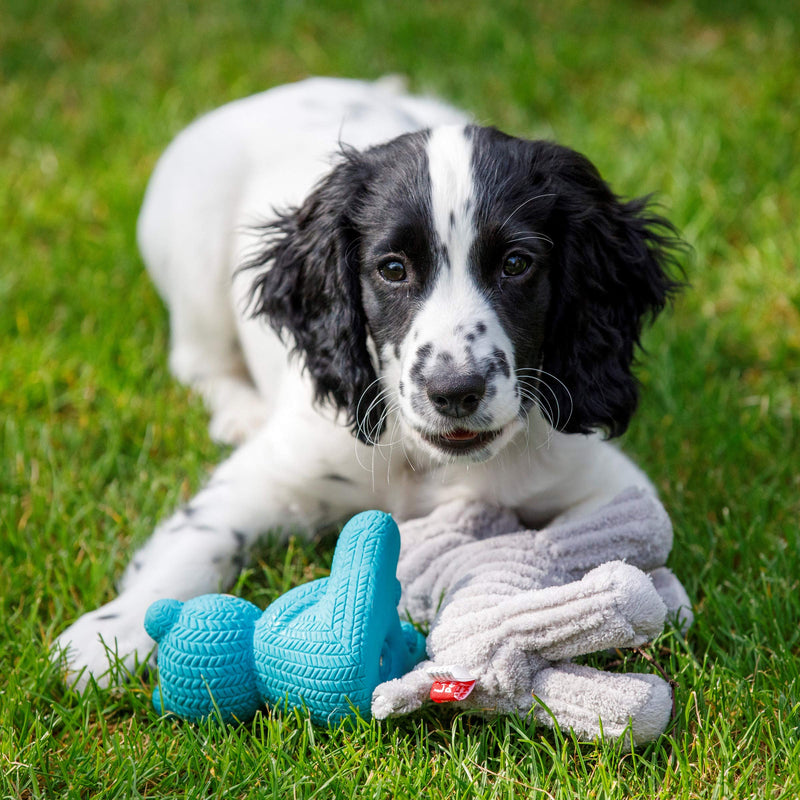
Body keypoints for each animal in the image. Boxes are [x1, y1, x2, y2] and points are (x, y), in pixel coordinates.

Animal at [56, 76, 680, 688]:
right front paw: (108, 637)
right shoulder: (276, 472)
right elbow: (201, 537)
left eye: (516, 264)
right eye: (393, 269)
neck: (428, 463)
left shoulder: (605, 479)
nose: (454, 392)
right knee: (196, 359)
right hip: (193, 261)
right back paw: (238, 413)